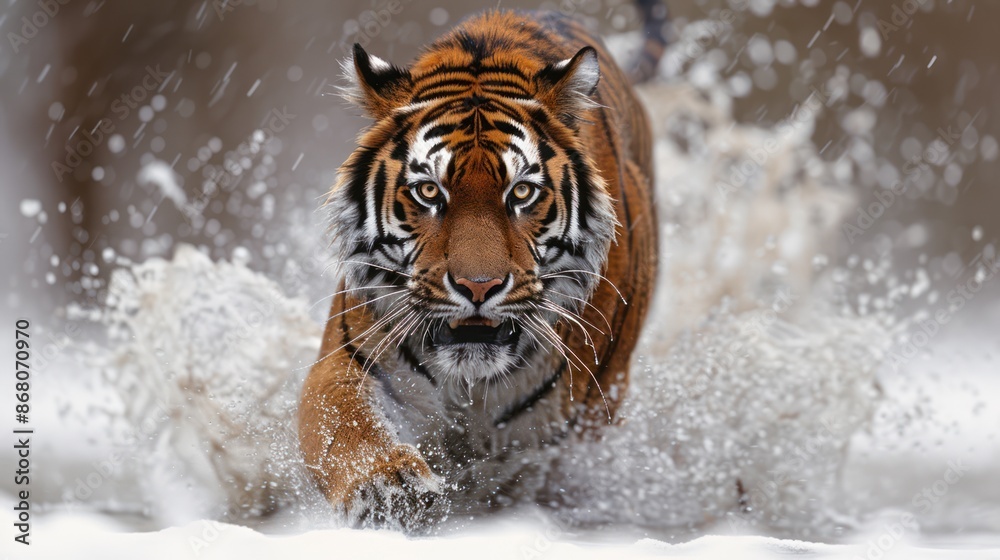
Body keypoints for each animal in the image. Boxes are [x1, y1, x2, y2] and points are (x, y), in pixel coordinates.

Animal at [299, 9, 658, 530]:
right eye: (429, 191)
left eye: (522, 192)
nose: (478, 286)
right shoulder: (349, 362)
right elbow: (346, 429)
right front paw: (390, 490)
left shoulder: (563, 431)